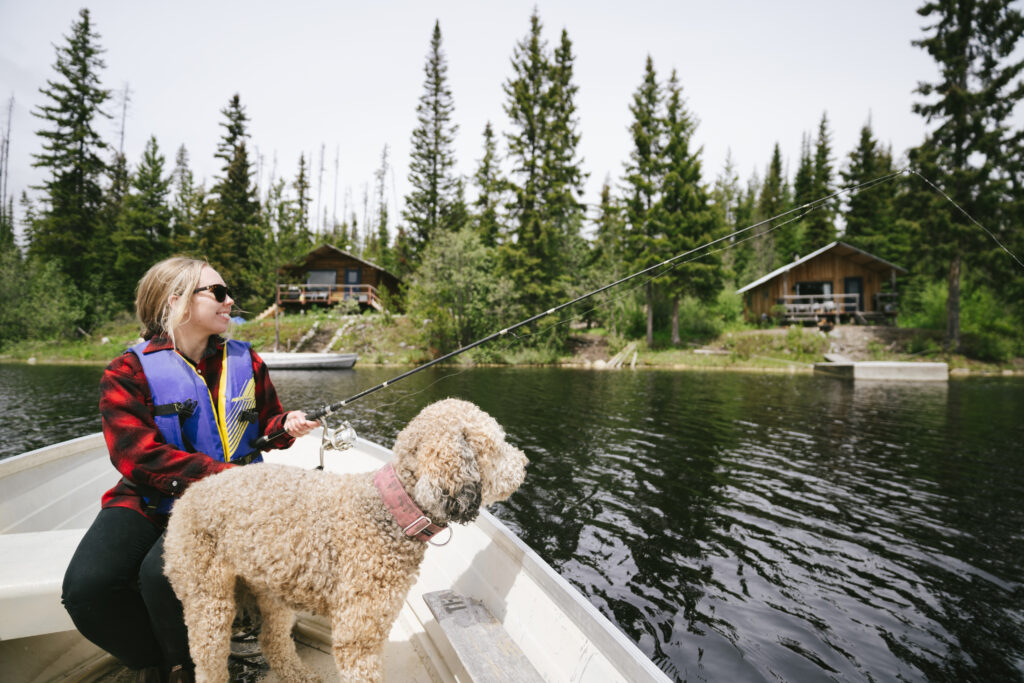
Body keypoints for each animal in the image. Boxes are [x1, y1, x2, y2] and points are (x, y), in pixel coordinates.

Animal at [161, 397, 528, 679]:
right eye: (496, 446)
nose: (524, 463)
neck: (391, 508)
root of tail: (189, 494)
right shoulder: (358, 635)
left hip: (270, 589)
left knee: (273, 639)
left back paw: (300, 676)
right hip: (206, 597)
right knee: (207, 661)